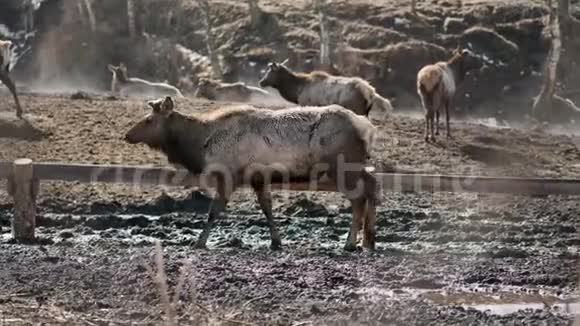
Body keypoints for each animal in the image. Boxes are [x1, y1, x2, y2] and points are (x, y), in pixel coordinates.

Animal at [124, 95, 378, 251]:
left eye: (149, 120)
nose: (127, 135)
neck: (199, 145)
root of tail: (366, 127)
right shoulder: (259, 178)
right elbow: (267, 208)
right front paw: (276, 241)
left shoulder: (227, 175)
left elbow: (213, 212)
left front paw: (199, 242)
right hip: (354, 167)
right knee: (373, 186)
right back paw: (368, 241)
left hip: (343, 167)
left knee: (359, 198)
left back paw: (351, 243)